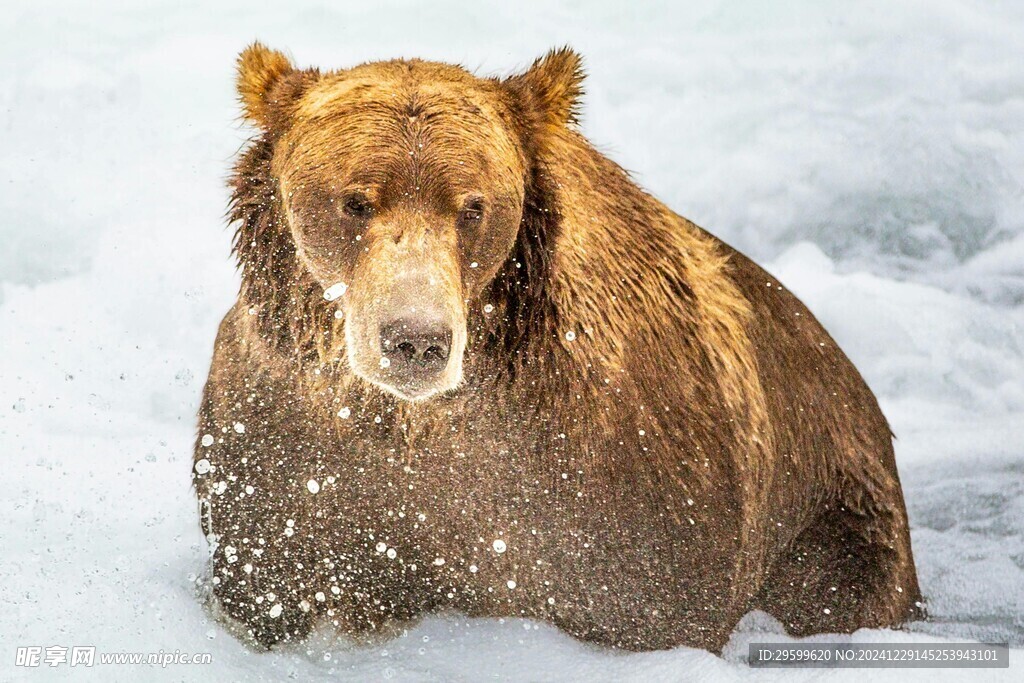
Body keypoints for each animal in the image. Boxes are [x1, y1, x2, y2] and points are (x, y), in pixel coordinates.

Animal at [190, 42, 921, 651]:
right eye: (356, 201)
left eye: (473, 206)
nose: (416, 338)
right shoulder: (281, 449)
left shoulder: (619, 491)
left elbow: (645, 602)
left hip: (840, 518)